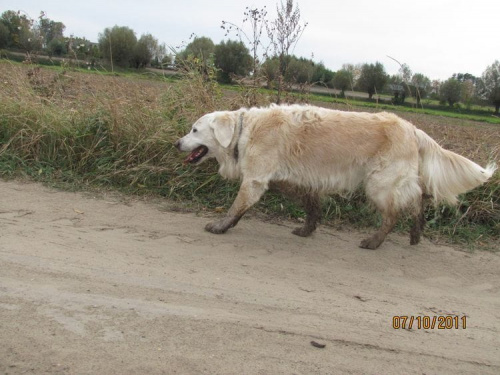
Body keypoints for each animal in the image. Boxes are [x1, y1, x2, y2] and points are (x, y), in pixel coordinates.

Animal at [176, 104, 496, 250]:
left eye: (194, 130)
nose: (177, 143)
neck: (245, 131)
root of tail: (412, 127)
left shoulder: (255, 180)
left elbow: (236, 207)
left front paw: (220, 226)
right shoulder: (293, 180)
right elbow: (312, 208)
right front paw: (307, 230)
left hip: (379, 184)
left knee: (395, 212)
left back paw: (374, 242)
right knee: (417, 200)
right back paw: (416, 234)